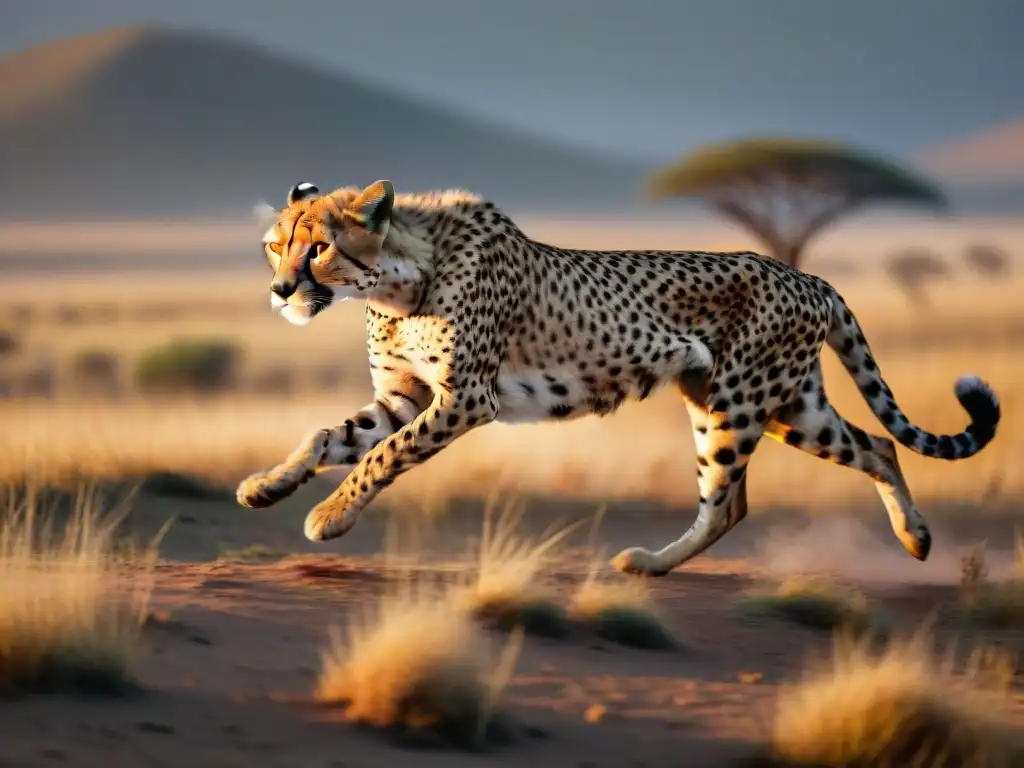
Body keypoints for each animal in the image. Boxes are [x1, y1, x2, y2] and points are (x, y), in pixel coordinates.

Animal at [237, 180, 999, 577]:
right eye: (275, 245)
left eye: (319, 247)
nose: (279, 290)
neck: (399, 280)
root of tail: (804, 273)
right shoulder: (406, 397)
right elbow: (327, 436)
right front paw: (267, 485)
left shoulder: (464, 400)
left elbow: (381, 457)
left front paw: (330, 516)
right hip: (784, 406)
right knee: (876, 446)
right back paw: (915, 538)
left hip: (740, 401)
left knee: (728, 501)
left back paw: (648, 562)